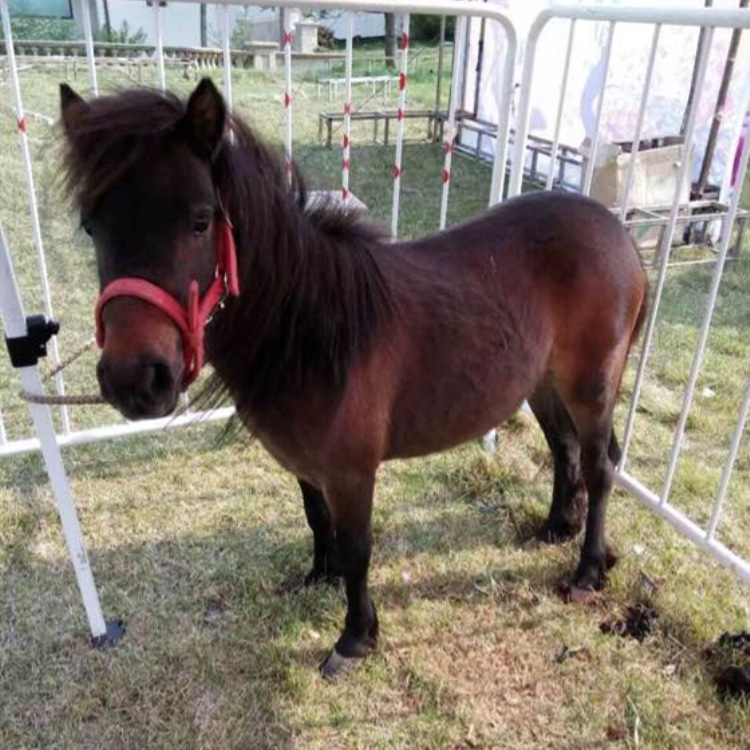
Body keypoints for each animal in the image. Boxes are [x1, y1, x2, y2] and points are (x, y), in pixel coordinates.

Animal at [59, 78, 648, 680]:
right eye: (91, 227)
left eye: (200, 221)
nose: (135, 380)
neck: (311, 328)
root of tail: (616, 231)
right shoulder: (305, 464)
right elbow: (318, 520)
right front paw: (321, 576)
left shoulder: (351, 472)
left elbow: (359, 546)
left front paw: (355, 637)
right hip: (543, 382)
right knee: (564, 448)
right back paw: (556, 527)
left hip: (591, 384)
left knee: (600, 465)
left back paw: (587, 571)